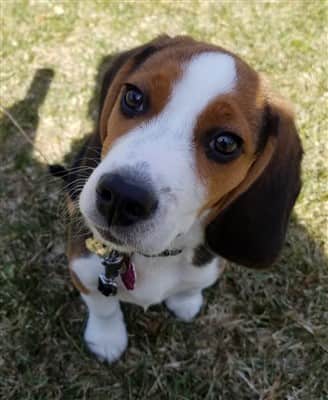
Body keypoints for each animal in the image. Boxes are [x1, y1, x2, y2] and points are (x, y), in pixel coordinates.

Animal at [52, 36, 302, 364]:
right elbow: (103, 308)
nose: (121, 196)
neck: (157, 255)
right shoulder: (83, 268)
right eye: (133, 97)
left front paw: (186, 300)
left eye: (226, 143)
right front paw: (106, 339)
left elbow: (194, 284)